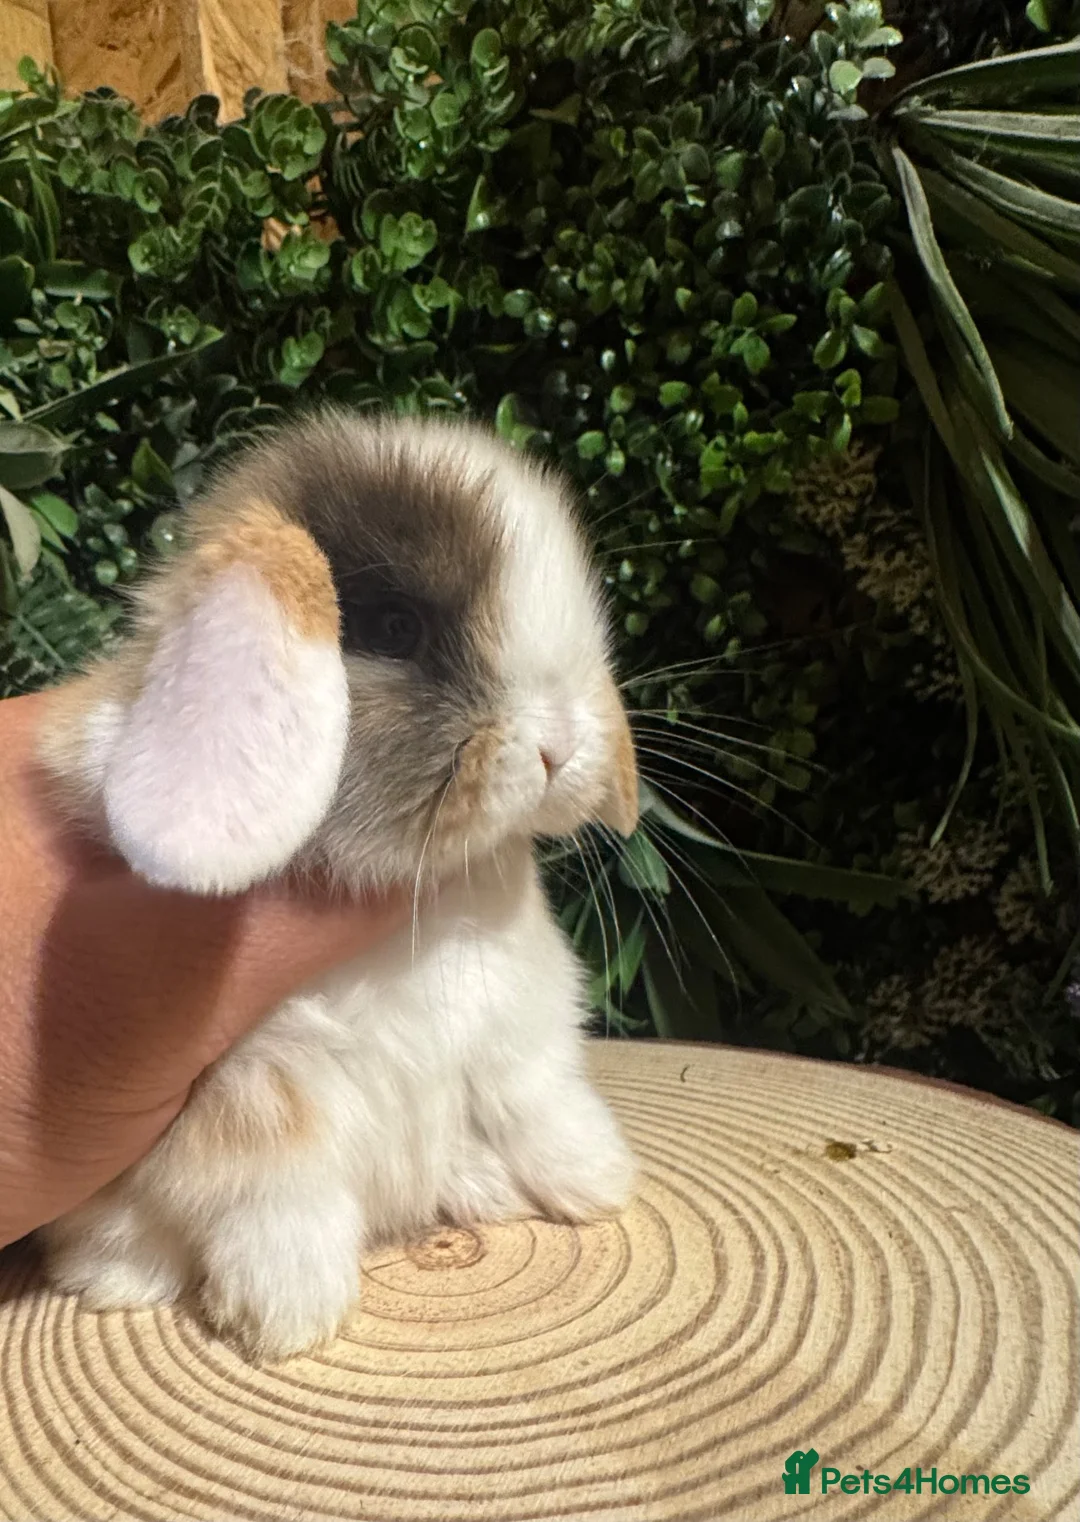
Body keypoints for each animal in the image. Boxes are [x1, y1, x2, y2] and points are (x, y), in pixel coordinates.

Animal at [35, 409, 640, 1360]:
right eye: (394, 626)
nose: (560, 748)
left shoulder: (519, 1028)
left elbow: (537, 1103)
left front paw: (599, 1180)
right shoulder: (252, 1095)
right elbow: (278, 1196)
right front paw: (285, 1314)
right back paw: (119, 1282)